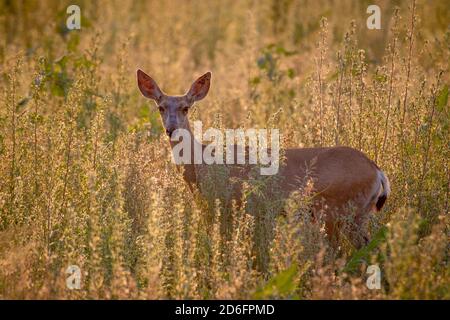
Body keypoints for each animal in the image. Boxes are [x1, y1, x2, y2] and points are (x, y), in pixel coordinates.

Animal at [136, 70, 390, 249]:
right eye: (160, 107)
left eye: (186, 108)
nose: (171, 129)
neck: (198, 167)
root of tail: (377, 171)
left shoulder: (223, 204)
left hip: (341, 212)